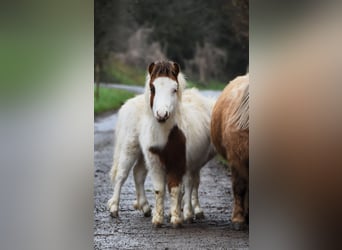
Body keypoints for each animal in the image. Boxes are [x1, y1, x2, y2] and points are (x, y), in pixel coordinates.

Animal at [107, 60, 215, 227]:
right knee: (121, 175)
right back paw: (114, 208)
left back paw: (145, 207)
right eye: (152, 88)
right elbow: (163, 188)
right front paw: (173, 216)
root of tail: (127, 104)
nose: (162, 114)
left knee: (138, 173)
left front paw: (178, 216)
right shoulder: (159, 161)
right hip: (130, 147)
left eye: (174, 89)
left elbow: (180, 187)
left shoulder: (184, 162)